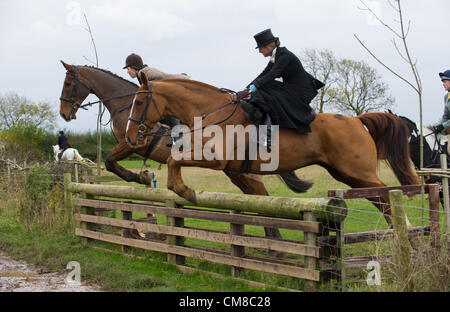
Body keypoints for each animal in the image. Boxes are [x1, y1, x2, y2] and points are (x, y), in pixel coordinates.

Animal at [125, 73, 418, 227]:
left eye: (138, 102)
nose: (129, 137)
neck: (210, 112)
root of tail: (357, 120)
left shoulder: (216, 160)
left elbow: (174, 161)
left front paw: (187, 191)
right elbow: (174, 162)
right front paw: (182, 190)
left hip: (357, 171)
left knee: (386, 194)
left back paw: (406, 233)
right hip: (347, 174)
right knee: (379, 198)